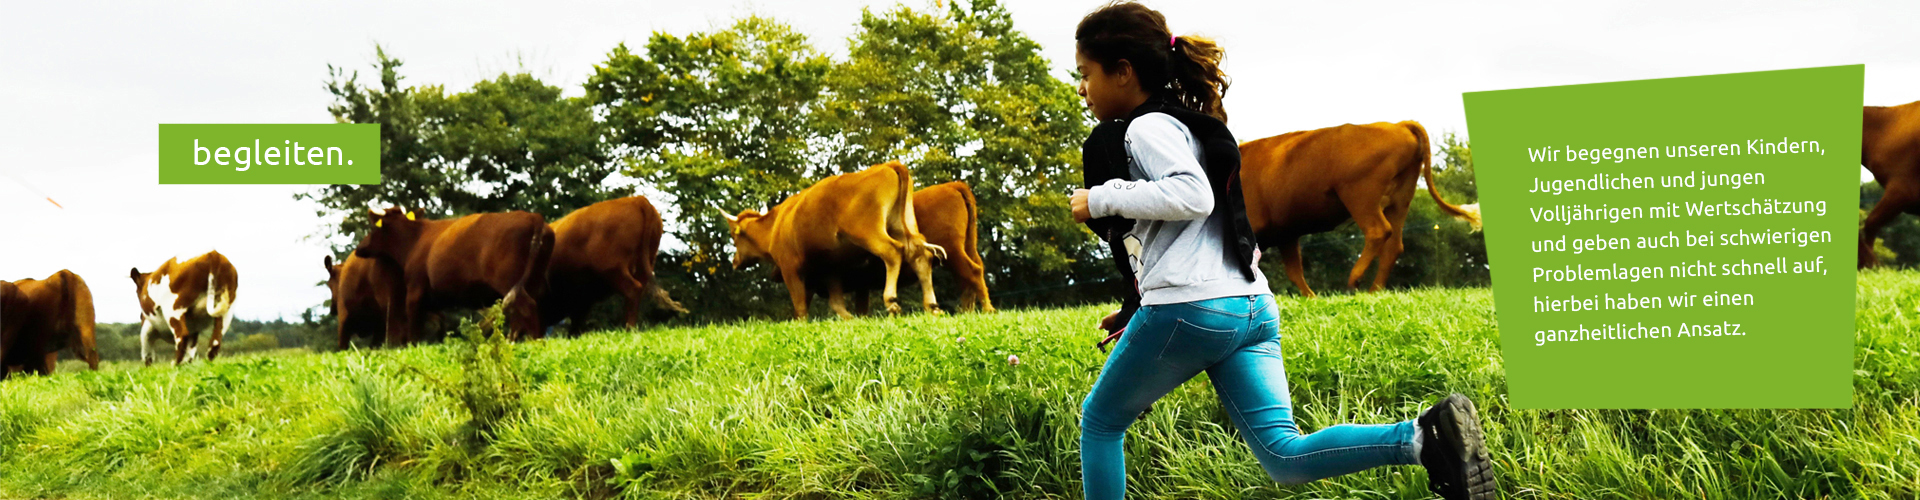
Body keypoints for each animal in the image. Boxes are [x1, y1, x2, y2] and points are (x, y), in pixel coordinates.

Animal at [355, 207, 556, 344]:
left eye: (374, 228)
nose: (359, 248)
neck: (415, 239)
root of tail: (534, 217)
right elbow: (440, 324)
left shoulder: (415, 289)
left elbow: (414, 326)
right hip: (533, 281)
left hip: (509, 280)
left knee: (528, 307)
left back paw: (536, 342)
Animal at [721, 161, 948, 321]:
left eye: (733, 236)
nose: (734, 261)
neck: (777, 224)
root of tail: (887, 165)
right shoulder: (830, 268)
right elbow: (836, 302)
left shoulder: (790, 267)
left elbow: (800, 305)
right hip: (902, 225)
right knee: (920, 255)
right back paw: (932, 306)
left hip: (868, 231)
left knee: (892, 251)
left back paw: (891, 300)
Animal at [1244, 120, 1482, 296]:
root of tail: (1397, 125)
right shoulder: (1287, 233)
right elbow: (1294, 272)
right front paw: (1310, 297)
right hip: (1400, 201)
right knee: (1394, 245)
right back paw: (1374, 290)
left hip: (1360, 196)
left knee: (1378, 231)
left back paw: (1354, 279)